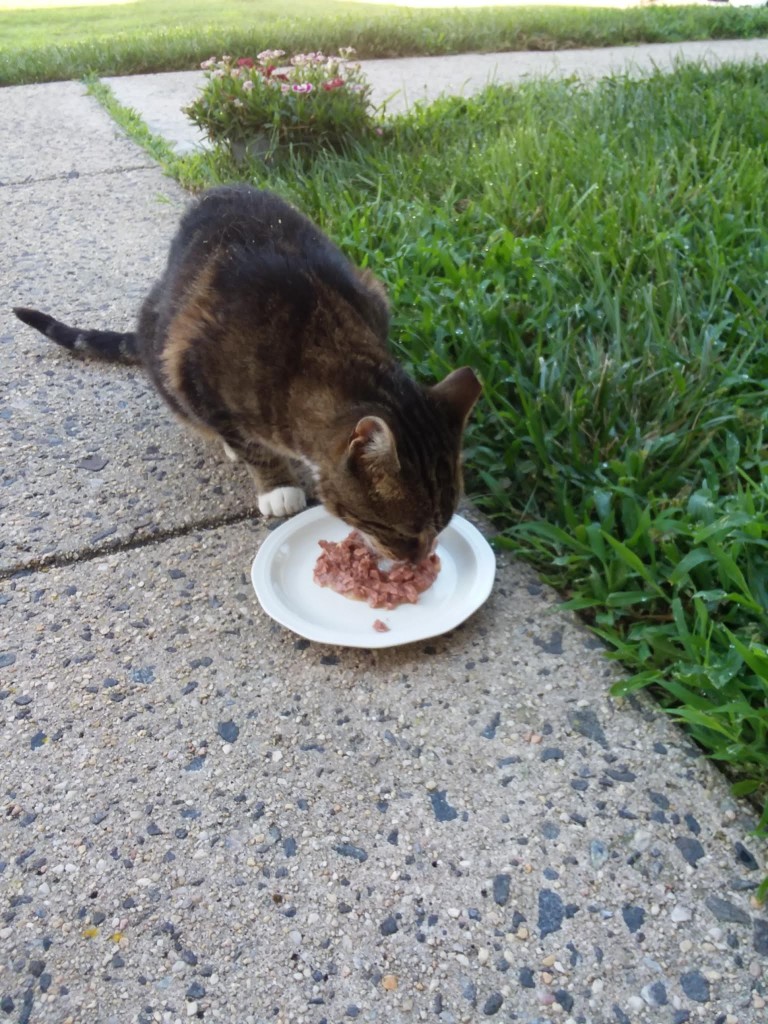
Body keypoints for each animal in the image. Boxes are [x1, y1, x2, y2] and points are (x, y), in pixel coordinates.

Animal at [13, 188, 481, 565]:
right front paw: (276, 485)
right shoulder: (192, 370)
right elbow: (251, 445)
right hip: (161, 341)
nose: (418, 562)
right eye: (400, 531)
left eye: (441, 526)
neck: (322, 346)